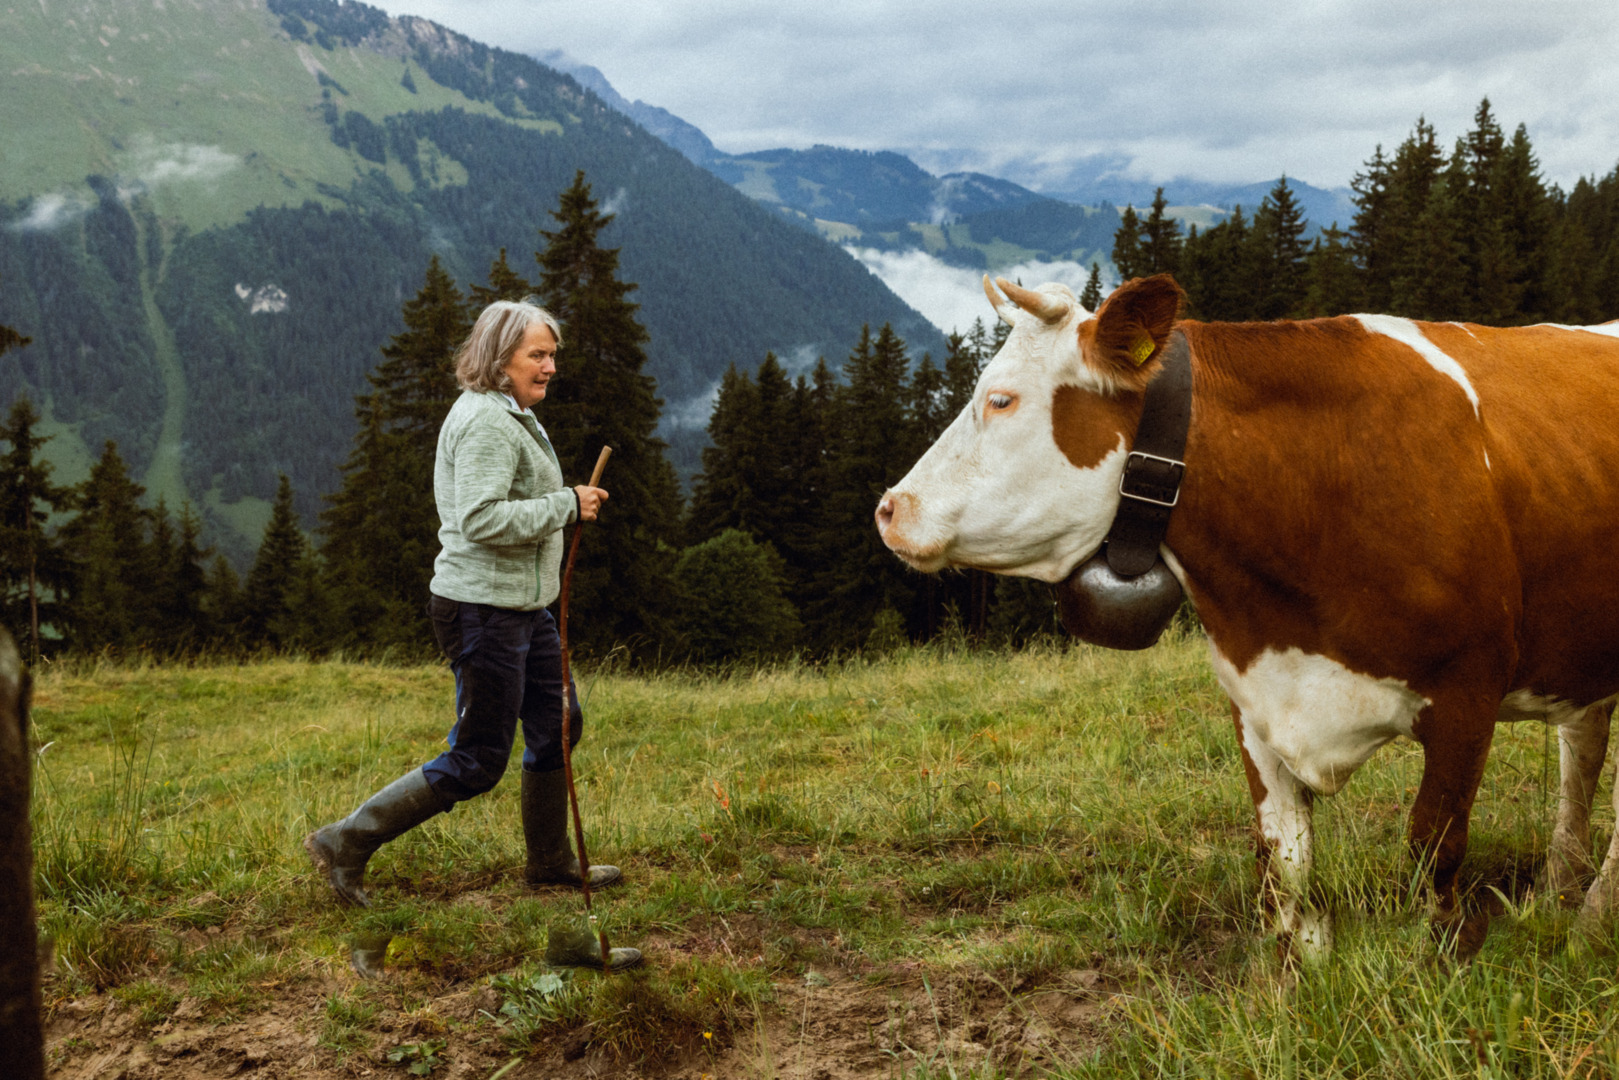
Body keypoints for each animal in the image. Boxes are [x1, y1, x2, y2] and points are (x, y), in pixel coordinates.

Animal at [875, 273, 1619, 957]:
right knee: (1583, 747)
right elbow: (1282, 867)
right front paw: (1292, 978)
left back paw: (1592, 918)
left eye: (1000, 400)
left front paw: (1428, 964)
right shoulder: (1255, 694)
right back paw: (1560, 891)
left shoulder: (1468, 691)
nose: (889, 509)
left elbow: (1432, 851)